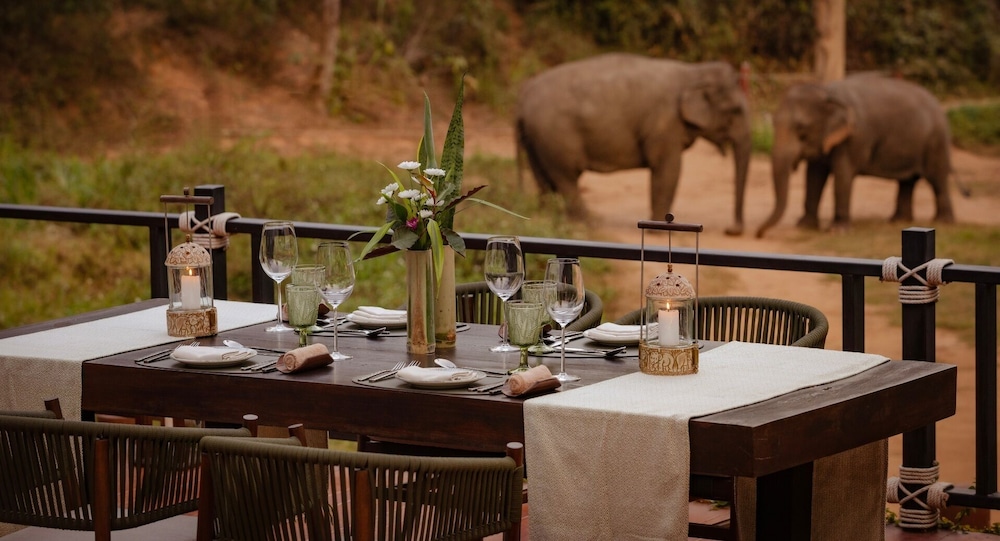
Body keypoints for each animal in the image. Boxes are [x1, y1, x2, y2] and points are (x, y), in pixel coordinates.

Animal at [516, 53, 751, 234]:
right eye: (735, 110)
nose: (731, 230)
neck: (694, 72)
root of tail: (523, 98)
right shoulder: (664, 124)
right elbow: (668, 170)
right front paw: (659, 230)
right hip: (555, 137)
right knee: (566, 178)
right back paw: (589, 223)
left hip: (536, 139)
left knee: (544, 179)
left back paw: (549, 218)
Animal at [756, 72, 956, 238]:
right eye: (773, 123)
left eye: (802, 131)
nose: (759, 235)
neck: (827, 92)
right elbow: (814, 176)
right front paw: (805, 226)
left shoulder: (854, 138)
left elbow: (842, 176)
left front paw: (837, 231)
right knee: (908, 181)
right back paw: (898, 221)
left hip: (936, 141)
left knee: (937, 179)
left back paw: (943, 222)